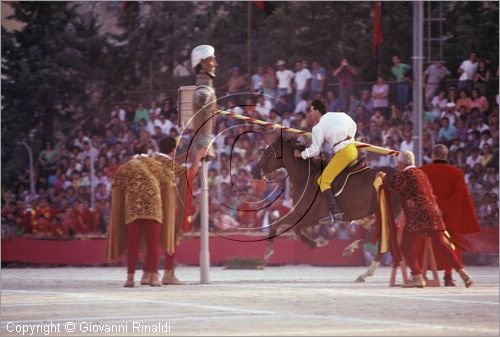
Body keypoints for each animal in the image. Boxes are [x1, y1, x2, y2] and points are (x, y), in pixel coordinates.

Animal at [250, 135, 402, 270]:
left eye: (269, 153)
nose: (254, 172)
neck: (305, 178)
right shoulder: (308, 217)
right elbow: (292, 228)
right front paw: (315, 243)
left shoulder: (308, 215)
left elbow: (285, 226)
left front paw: (270, 251)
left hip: (384, 211)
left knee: (379, 236)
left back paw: (352, 250)